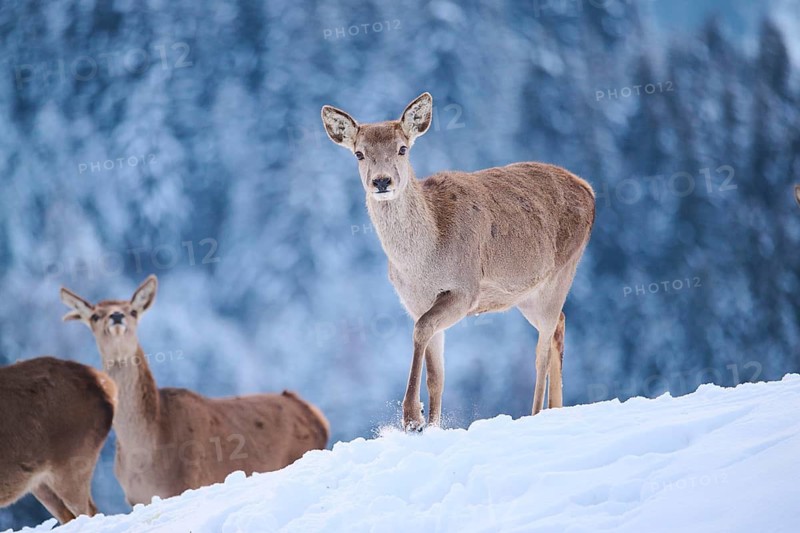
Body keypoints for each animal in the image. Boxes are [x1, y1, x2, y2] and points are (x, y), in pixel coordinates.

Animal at [60, 275, 329, 505]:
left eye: (133, 310)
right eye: (95, 316)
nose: (116, 316)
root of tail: (318, 418)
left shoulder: (188, 482)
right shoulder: (135, 499)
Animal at [321, 93, 595, 431]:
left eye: (402, 148)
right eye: (359, 153)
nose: (381, 181)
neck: (423, 263)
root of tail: (589, 189)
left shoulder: (466, 290)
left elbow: (421, 331)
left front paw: (412, 417)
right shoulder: (415, 302)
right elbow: (436, 373)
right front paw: (431, 424)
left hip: (561, 272)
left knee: (541, 348)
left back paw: (535, 413)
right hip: (527, 295)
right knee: (560, 324)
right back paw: (556, 408)